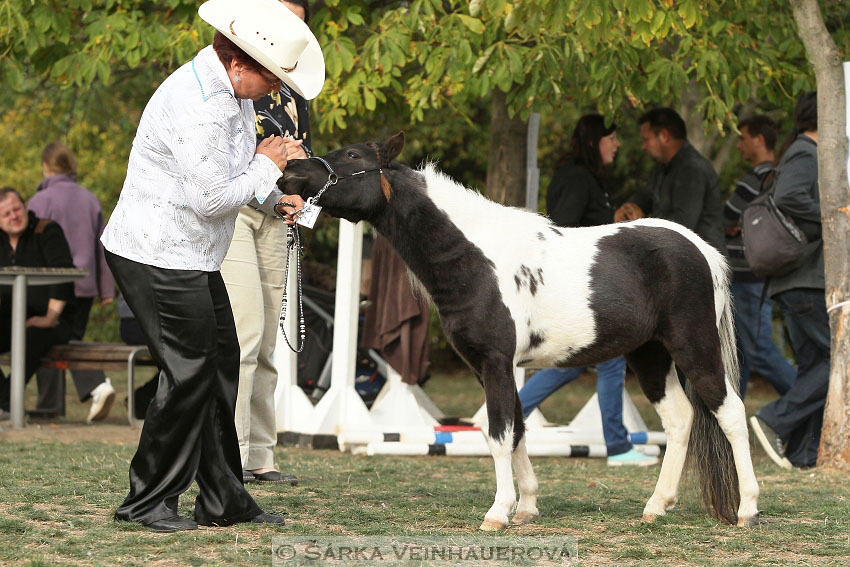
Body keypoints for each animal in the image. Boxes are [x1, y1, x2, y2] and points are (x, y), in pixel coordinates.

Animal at [282, 132, 760, 528]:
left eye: (352, 155)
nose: (291, 172)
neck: (476, 260)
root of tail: (702, 250)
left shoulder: (496, 363)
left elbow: (498, 434)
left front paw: (498, 512)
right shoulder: (488, 367)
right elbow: (516, 429)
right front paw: (527, 505)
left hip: (694, 348)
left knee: (731, 414)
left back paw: (747, 510)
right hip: (651, 355)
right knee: (680, 420)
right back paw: (656, 506)